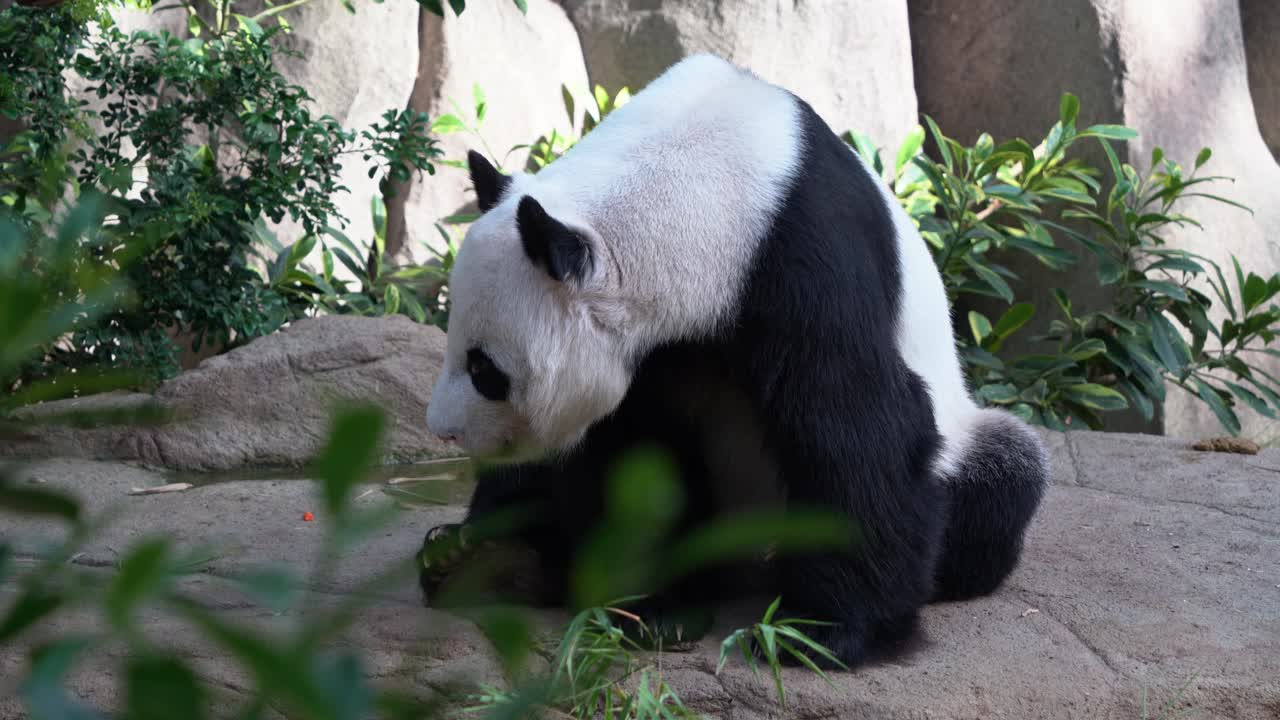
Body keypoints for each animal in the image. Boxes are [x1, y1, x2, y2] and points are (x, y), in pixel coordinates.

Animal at [420, 53, 1048, 670]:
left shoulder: (806, 255)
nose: (445, 431)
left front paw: (817, 634)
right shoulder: (653, 353)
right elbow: (632, 455)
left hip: (967, 439)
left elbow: (854, 425)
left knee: (1003, 478)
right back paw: (481, 558)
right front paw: (655, 604)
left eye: (485, 371)